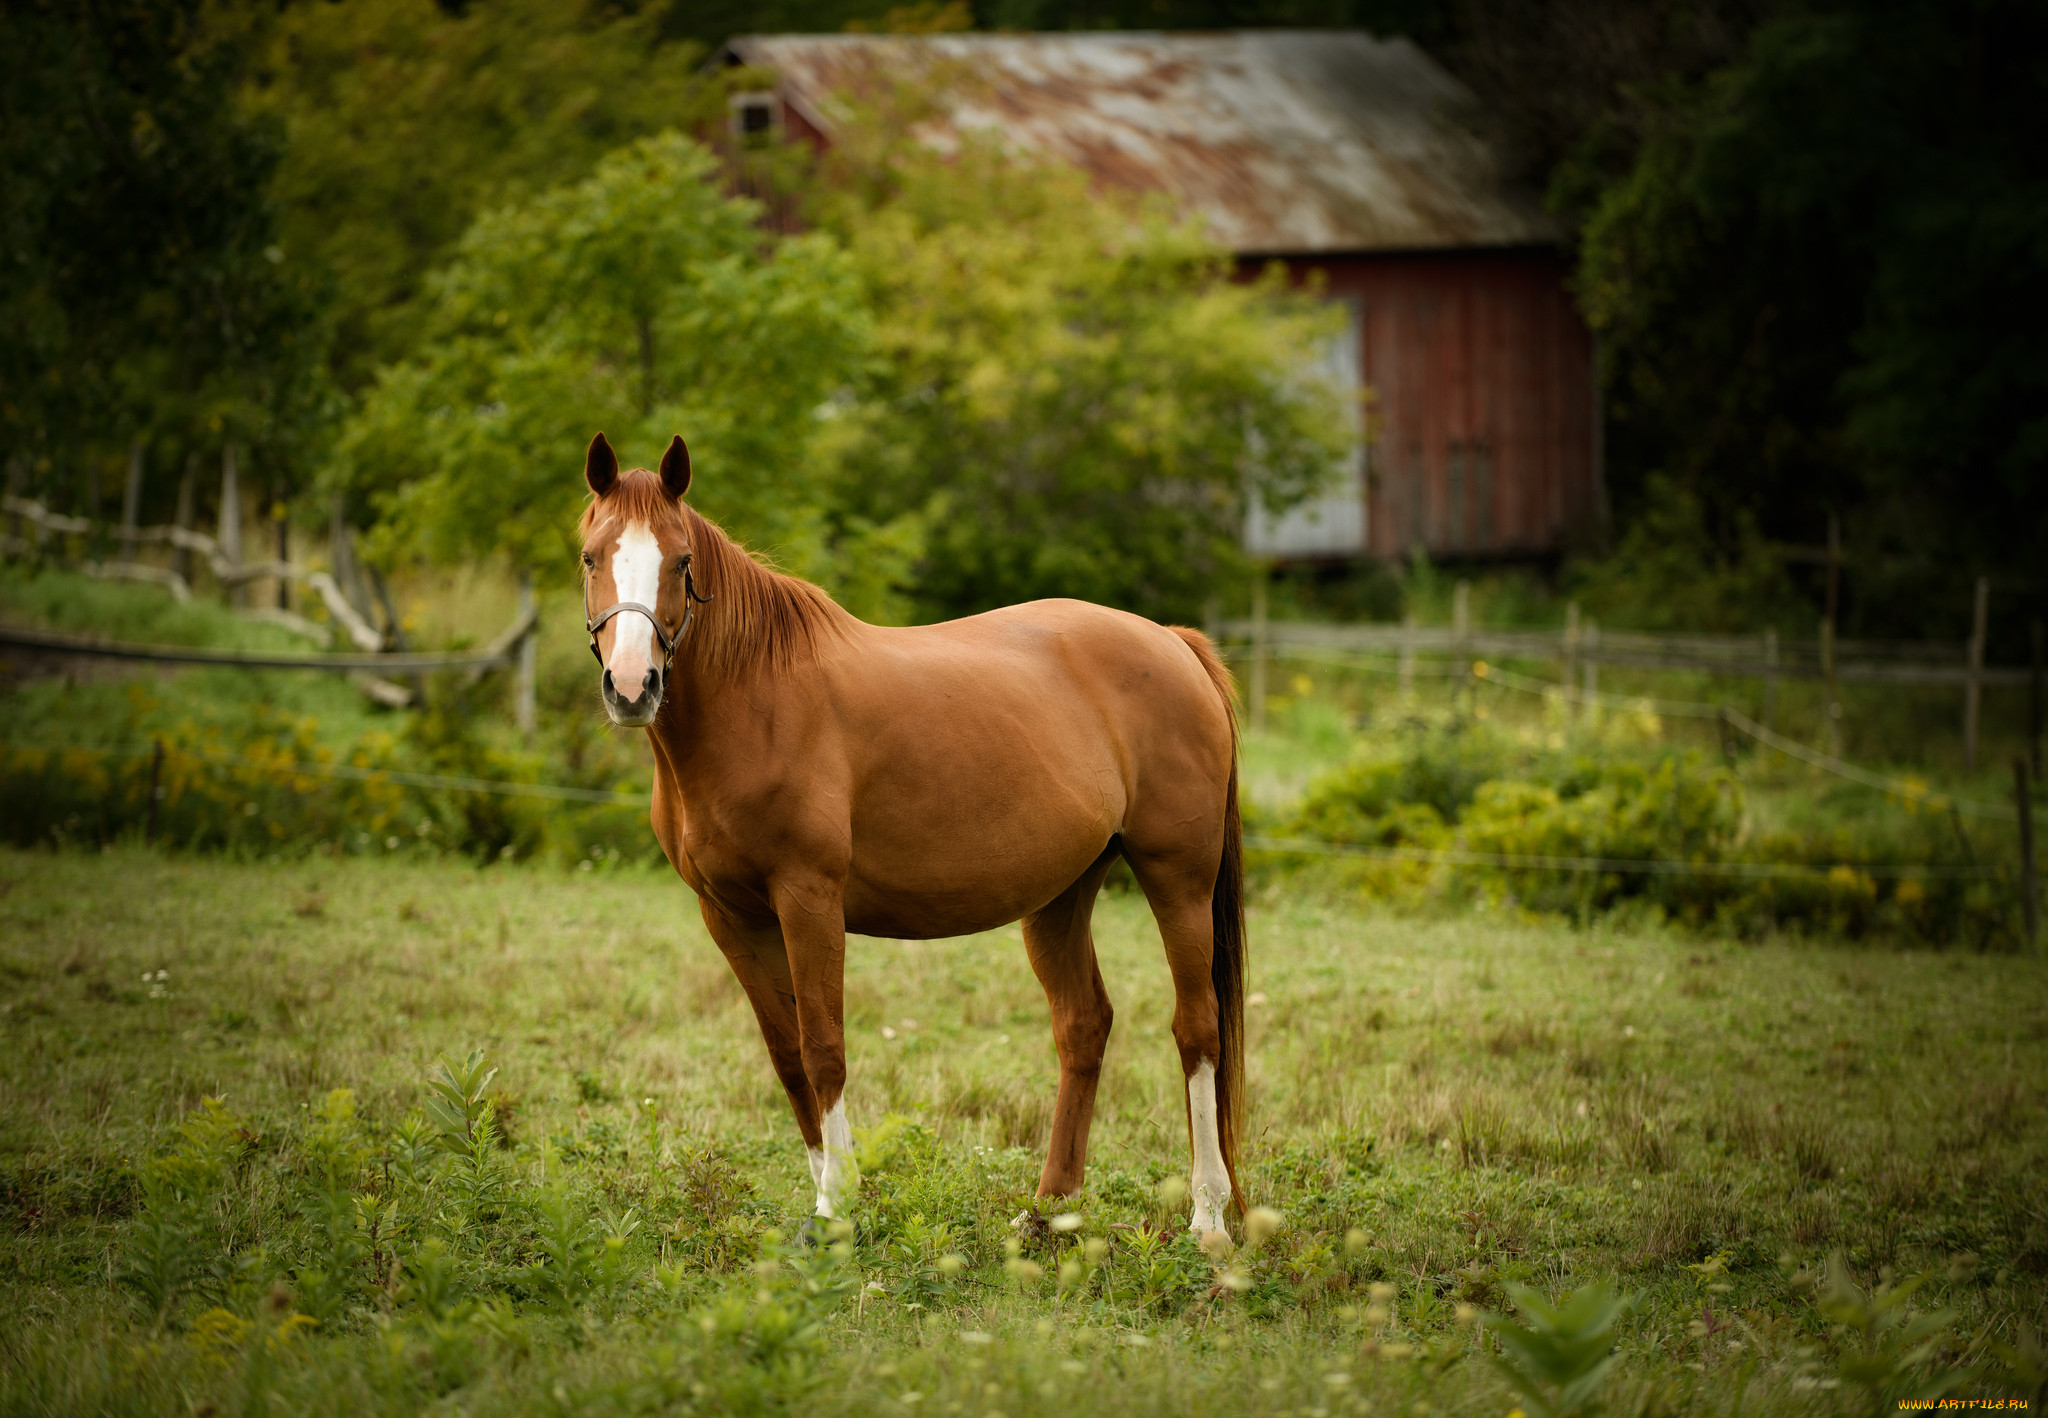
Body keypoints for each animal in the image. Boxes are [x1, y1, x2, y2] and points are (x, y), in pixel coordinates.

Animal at [577, 428, 1245, 1229]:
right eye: (590, 557)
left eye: (680, 561)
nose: (632, 687)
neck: (758, 701)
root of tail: (1175, 644)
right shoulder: (729, 915)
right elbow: (786, 1055)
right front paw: (824, 1194)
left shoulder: (808, 900)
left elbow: (823, 1046)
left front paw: (836, 1206)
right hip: (1062, 894)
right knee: (1084, 1025)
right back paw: (1049, 1212)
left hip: (1178, 877)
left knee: (1197, 1028)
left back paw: (1208, 1220)